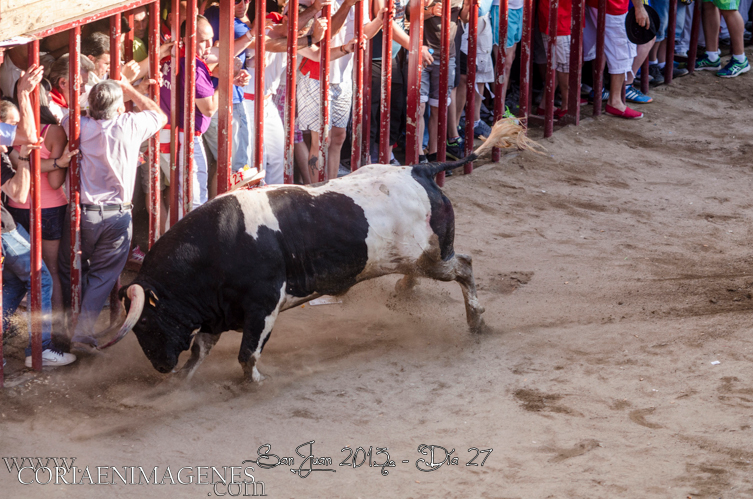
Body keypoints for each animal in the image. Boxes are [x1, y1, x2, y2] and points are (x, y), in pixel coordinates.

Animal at [103, 118, 536, 382]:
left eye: (145, 323)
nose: (160, 366)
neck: (218, 245)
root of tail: (421, 170)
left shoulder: (263, 306)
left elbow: (247, 355)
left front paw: (254, 383)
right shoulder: (217, 312)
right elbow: (199, 352)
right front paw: (180, 385)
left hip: (432, 257)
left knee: (464, 265)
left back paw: (476, 320)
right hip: (419, 257)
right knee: (431, 271)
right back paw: (406, 292)